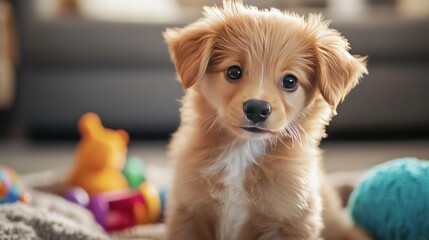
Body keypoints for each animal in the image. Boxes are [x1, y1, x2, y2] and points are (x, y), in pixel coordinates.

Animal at [164, 0, 368, 239]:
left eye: (290, 81)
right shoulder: (188, 212)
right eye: (233, 71)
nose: (257, 108)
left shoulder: (291, 221)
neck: (241, 153)